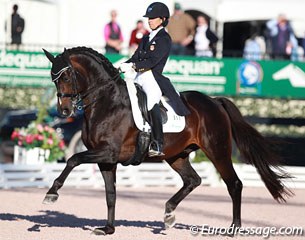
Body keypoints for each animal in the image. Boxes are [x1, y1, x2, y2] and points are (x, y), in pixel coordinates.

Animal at [41, 47, 290, 235]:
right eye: (53, 79)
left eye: (66, 76)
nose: (64, 111)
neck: (106, 102)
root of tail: (214, 101)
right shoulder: (106, 160)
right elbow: (110, 194)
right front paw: (108, 229)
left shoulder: (108, 152)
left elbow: (73, 159)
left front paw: (51, 194)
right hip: (177, 155)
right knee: (193, 180)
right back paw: (169, 213)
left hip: (217, 151)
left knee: (234, 184)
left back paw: (233, 228)